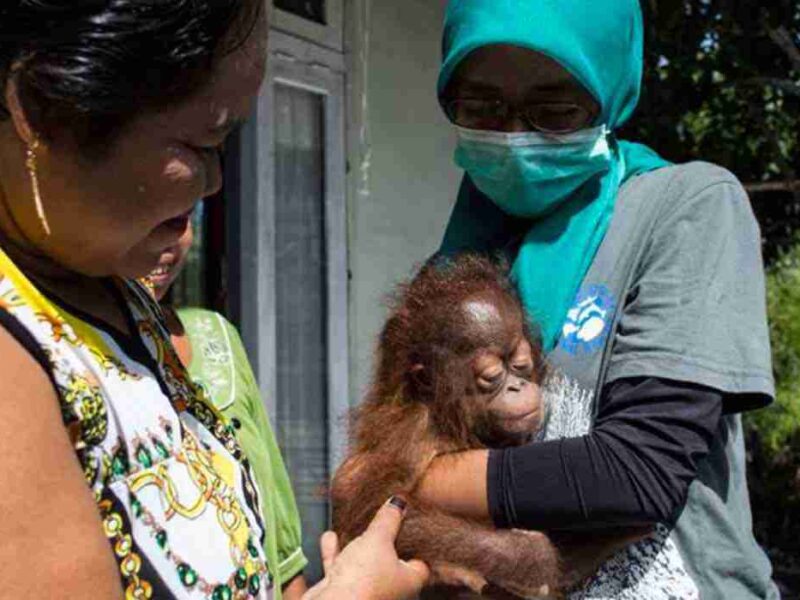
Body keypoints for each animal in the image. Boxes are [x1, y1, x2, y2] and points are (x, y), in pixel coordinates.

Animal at [331, 254, 649, 599]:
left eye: (520, 364)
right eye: (492, 376)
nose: (517, 386)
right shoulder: (409, 432)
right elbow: (367, 519)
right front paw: (534, 557)